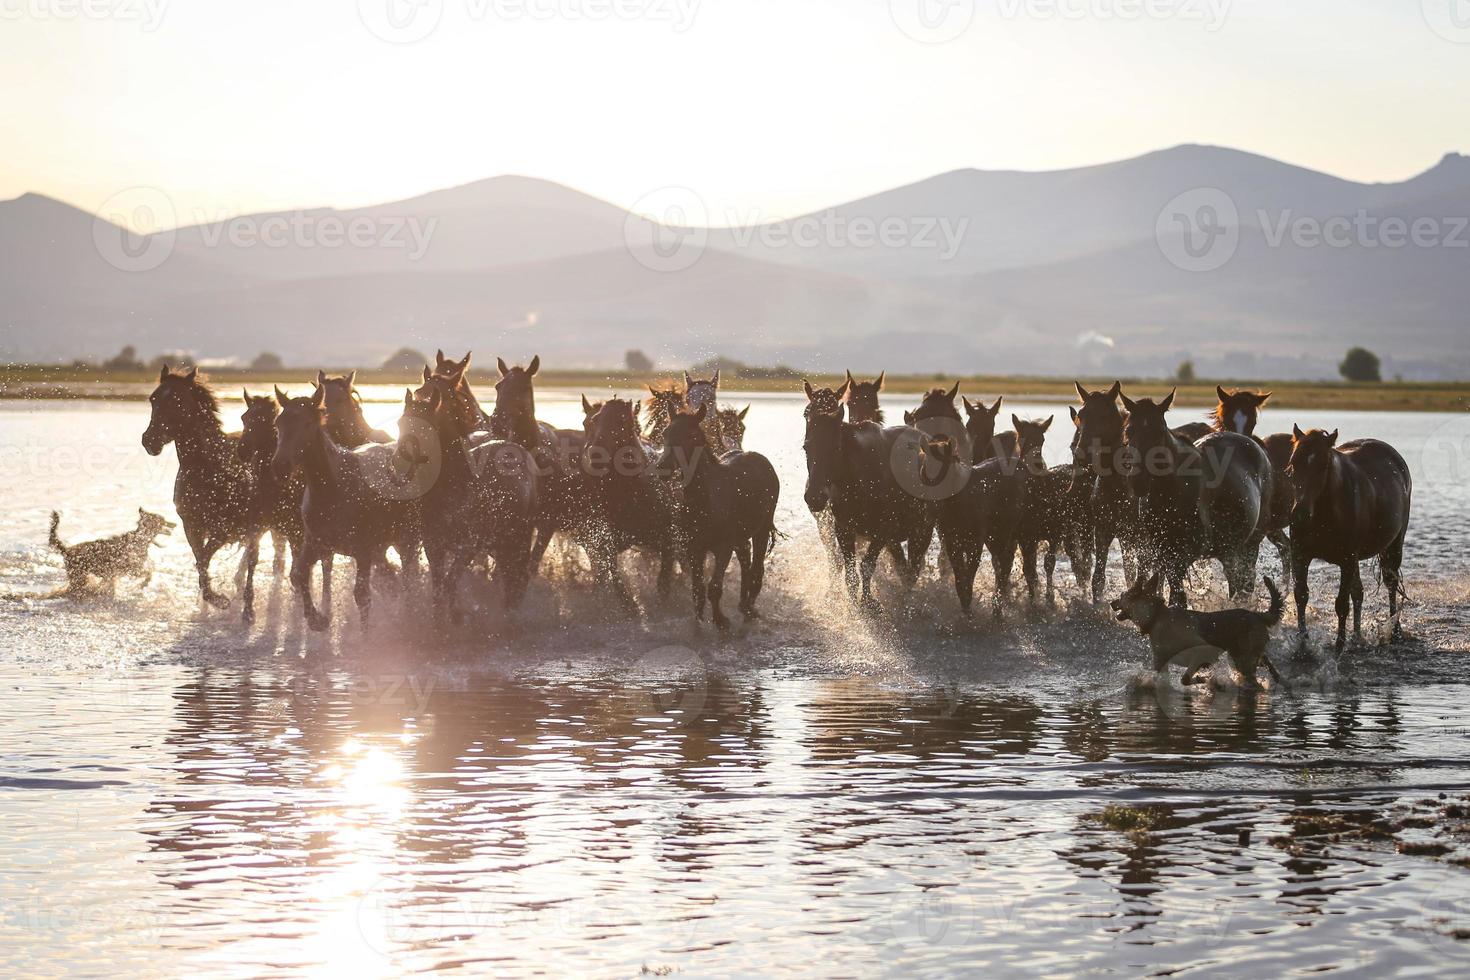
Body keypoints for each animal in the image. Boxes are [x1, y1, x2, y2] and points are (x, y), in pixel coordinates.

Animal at [658, 405, 782, 628]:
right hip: (741, 536)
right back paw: (742, 602)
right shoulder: (694, 548)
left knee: (756, 568)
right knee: (745, 560)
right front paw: (699, 618)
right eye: (665, 433)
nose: (662, 467)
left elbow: (714, 588)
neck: (705, 502)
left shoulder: (724, 548)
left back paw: (750, 607)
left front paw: (720, 620)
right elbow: (698, 589)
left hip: (762, 528)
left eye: (691, 435)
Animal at [1111, 570, 1287, 687]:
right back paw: (1278, 680)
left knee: (1252, 676)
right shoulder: (1161, 663)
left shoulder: (1202, 651)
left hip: (1243, 659)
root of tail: (1258, 615)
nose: (1111, 602)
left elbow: (1185, 679)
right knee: (1266, 662)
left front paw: (1203, 679)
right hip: (1244, 655)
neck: (1156, 616)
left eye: (1121, 596)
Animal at [1123, 387, 1275, 605]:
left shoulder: (1184, 554)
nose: (1139, 481)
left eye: (1159, 431)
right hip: (1228, 547)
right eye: (1129, 431)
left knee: (1244, 581)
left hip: (1251, 541)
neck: (1172, 490)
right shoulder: (1162, 551)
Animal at [1287, 426, 1411, 652]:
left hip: (1394, 544)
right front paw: (1303, 641)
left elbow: (1342, 604)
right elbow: (1301, 595)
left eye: (1324, 465)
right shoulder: (1300, 555)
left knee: (1390, 584)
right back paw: (1357, 635)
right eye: (1293, 462)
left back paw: (1395, 631)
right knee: (1358, 592)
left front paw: (1339, 644)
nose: (1299, 514)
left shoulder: (1347, 559)